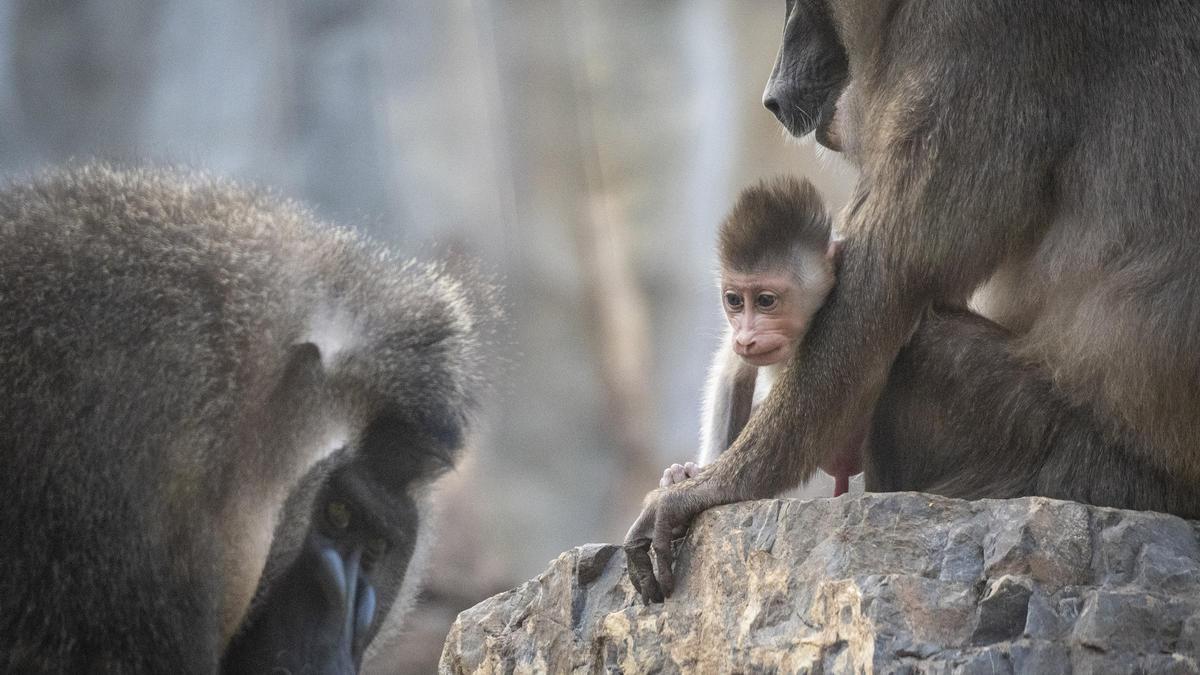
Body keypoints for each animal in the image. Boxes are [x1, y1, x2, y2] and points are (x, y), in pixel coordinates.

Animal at [624, 0, 1200, 600]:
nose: (774, 96)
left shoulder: (973, 40)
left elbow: (888, 286)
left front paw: (707, 489)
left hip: (1080, 466)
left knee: (922, 350)